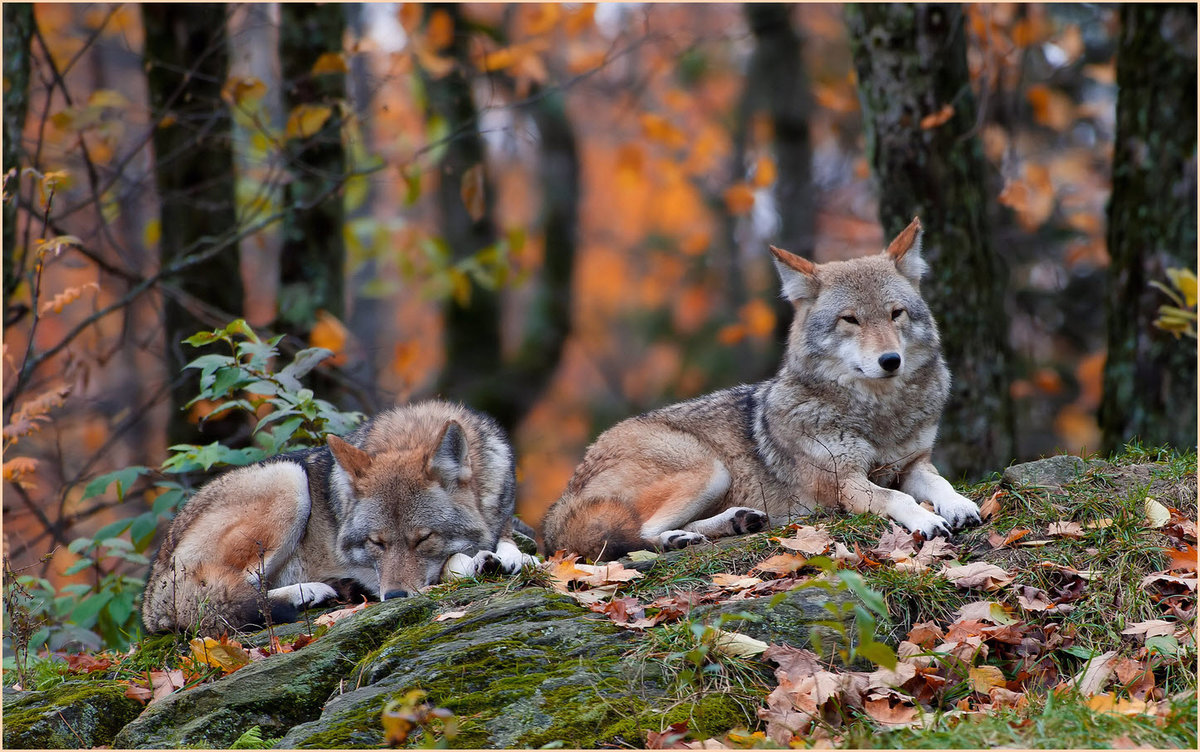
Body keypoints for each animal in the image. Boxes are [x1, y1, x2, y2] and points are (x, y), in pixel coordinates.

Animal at [142, 400, 536, 633]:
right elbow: (451, 563)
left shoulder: (501, 520)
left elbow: (510, 543)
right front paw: (478, 561)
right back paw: (309, 592)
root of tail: (152, 594)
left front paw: (514, 557)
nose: (394, 596)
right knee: (221, 598)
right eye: (376, 543)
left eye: (423, 538)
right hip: (288, 481)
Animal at [541, 217, 981, 561]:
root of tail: (562, 499)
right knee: (636, 536)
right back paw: (678, 538)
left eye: (895, 314)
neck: (878, 415)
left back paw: (735, 521)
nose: (891, 360)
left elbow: (941, 483)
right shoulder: (845, 483)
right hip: (707, 468)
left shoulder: (913, 464)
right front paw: (927, 519)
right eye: (850, 319)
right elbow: (899, 499)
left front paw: (960, 506)